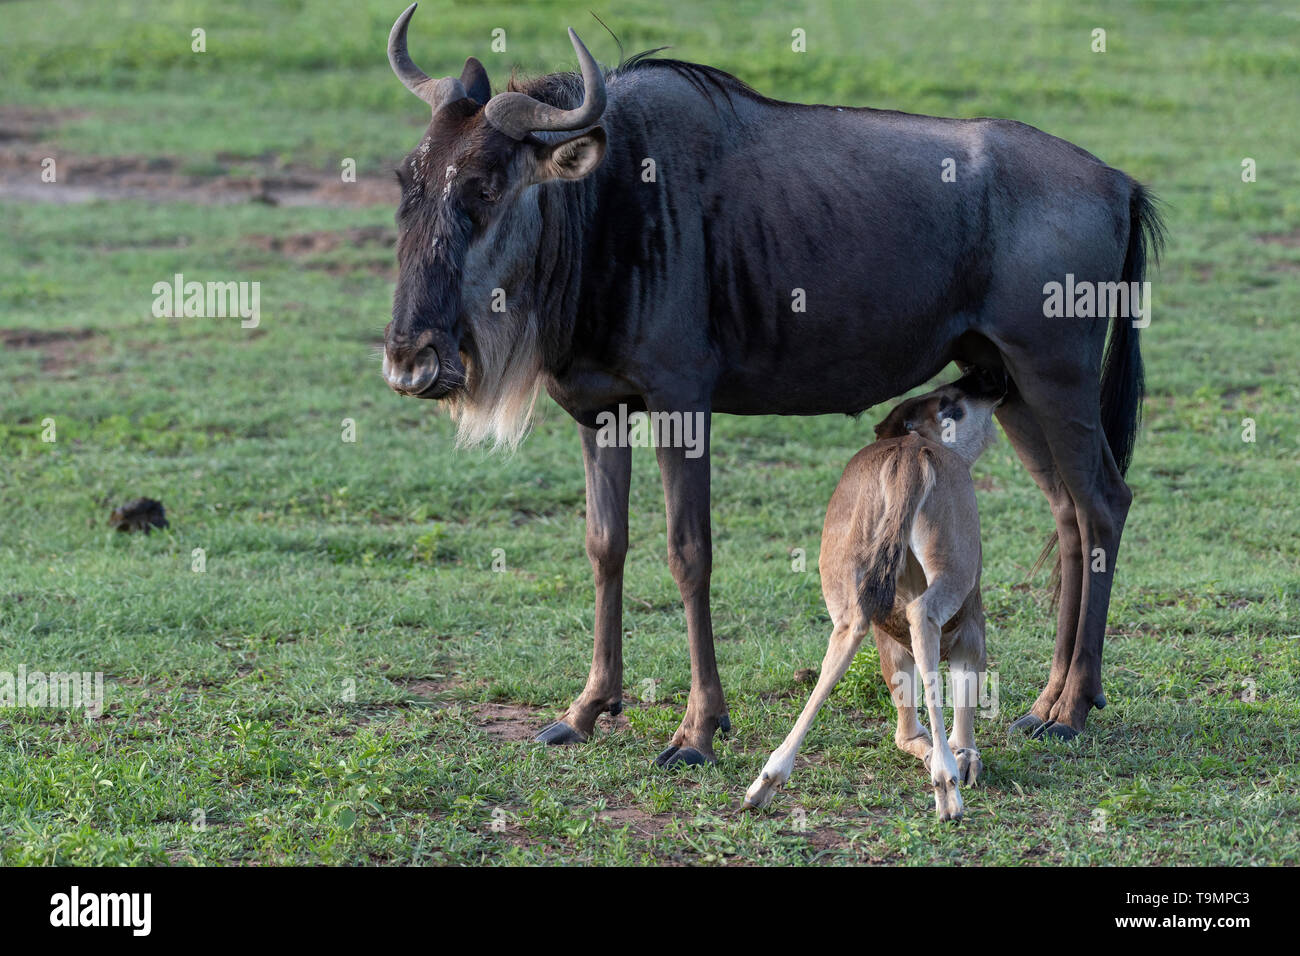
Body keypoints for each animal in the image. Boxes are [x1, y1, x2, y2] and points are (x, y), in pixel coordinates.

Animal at [743, 369, 1003, 816]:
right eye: (951, 404)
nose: (990, 381)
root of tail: (909, 457)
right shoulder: (971, 625)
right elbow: (961, 700)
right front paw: (963, 756)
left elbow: (908, 729)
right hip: (948, 577)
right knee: (923, 617)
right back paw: (947, 785)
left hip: (849, 593)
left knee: (846, 642)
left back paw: (767, 781)